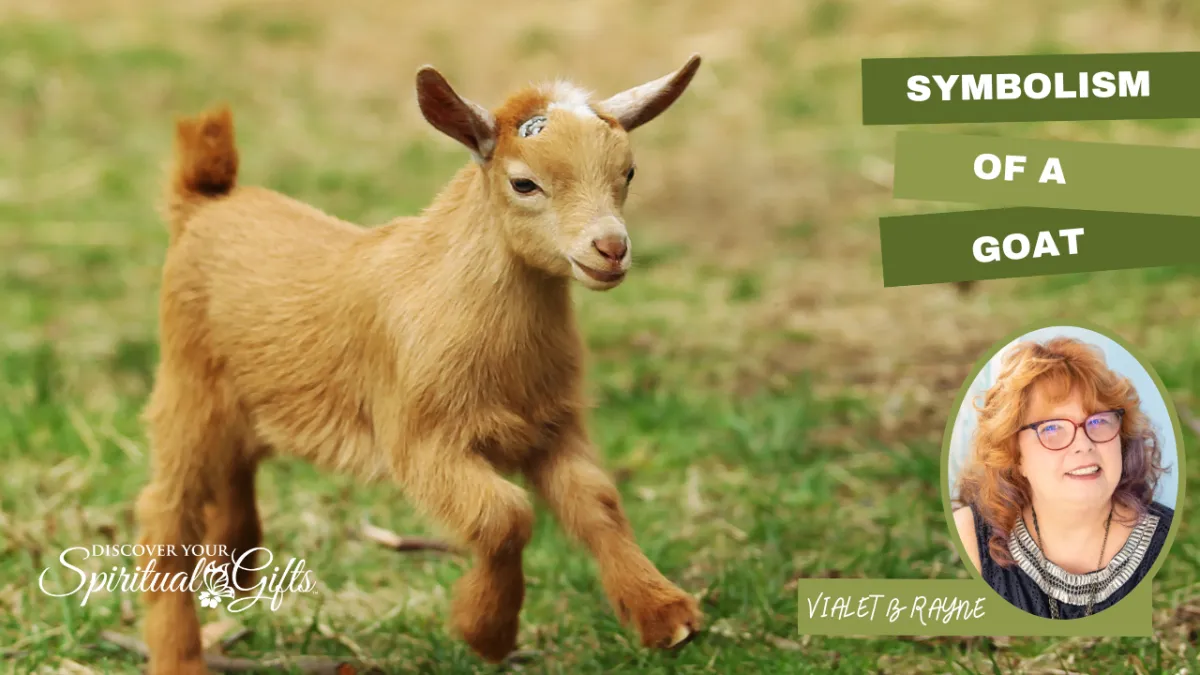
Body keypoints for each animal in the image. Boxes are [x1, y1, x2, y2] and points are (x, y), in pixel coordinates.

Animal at [133, 54, 704, 673]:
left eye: (628, 173)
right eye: (523, 182)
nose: (611, 249)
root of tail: (204, 201)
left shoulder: (552, 428)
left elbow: (598, 503)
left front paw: (666, 615)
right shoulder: (420, 439)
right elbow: (505, 515)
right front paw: (488, 632)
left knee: (236, 465)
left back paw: (233, 568)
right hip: (186, 389)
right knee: (164, 511)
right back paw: (179, 656)